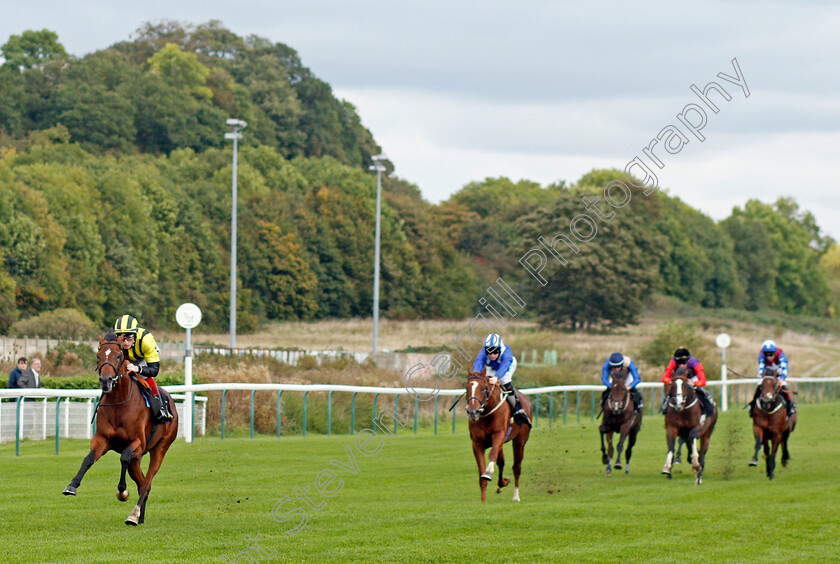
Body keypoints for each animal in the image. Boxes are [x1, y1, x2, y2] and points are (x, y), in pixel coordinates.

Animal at [63, 332, 179, 528]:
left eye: (118, 356)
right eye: (98, 356)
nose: (106, 381)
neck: (119, 403)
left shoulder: (137, 443)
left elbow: (123, 457)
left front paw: (122, 492)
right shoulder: (102, 439)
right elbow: (88, 459)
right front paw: (72, 486)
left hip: (160, 448)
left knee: (146, 482)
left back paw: (133, 515)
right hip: (137, 460)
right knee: (142, 483)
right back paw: (140, 517)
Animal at [466, 370, 532, 502]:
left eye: (484, 388)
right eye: (466, 388)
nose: (473, 412)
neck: (487, 413)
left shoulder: (499, 435)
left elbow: (492, 455)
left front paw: (488, 473)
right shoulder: (477, 444)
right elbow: (482, 474)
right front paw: (483, 500)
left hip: (520, 441)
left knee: (516, 467)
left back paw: (516, 496)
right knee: (501, 462)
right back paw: (502, 483)